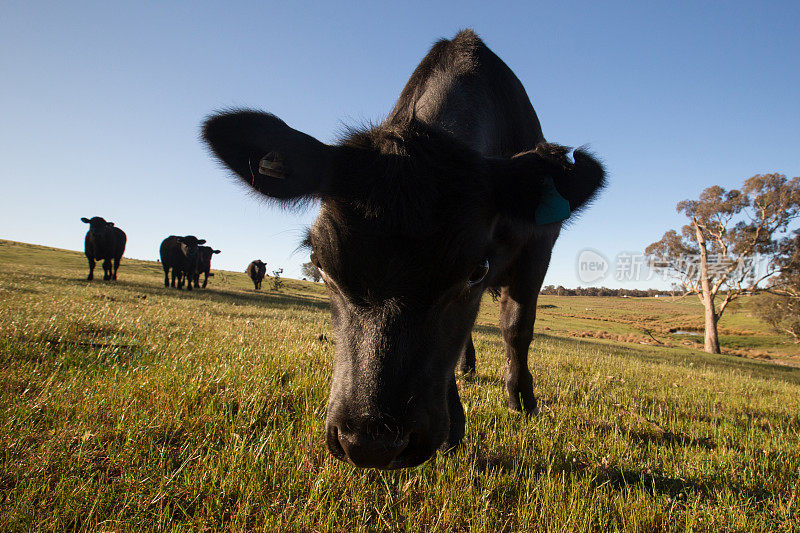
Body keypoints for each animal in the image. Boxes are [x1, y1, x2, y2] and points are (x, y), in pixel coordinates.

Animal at [203, 31, 604, 468]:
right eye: (319, 263)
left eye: (476, 270)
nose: (372, 443)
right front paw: (454, 427)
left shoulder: (538, 247)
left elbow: (517, 327)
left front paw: (522, 401)